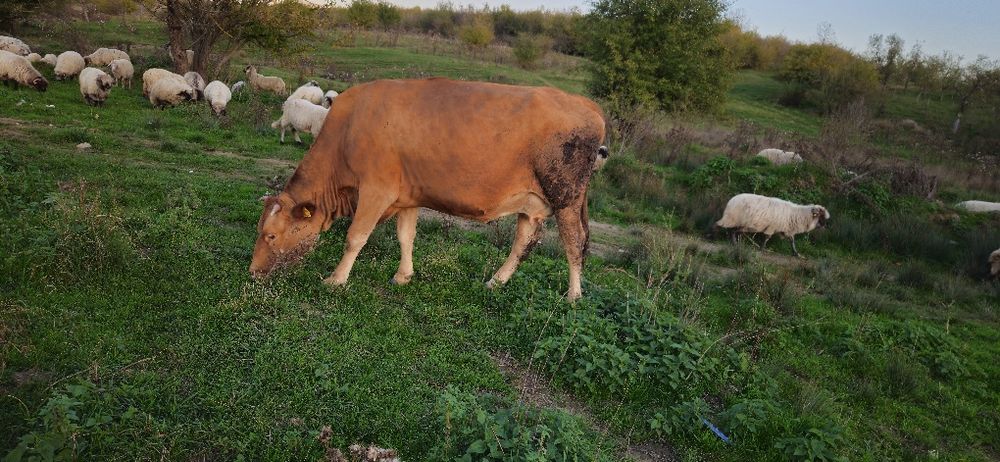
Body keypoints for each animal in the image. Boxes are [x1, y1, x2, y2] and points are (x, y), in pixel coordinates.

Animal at [250, 78, 608, 301]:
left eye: (271, 235)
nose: (252, 272)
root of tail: (586, 103)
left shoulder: (376, 191)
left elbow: (355, 237)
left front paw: (336, 280)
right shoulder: (407, 195)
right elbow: (406, 236)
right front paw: (403, 276)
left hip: (566, 197)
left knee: (574, 242)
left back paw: (573, 296)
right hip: (532, 202)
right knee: (524, 240)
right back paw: (496, 281)